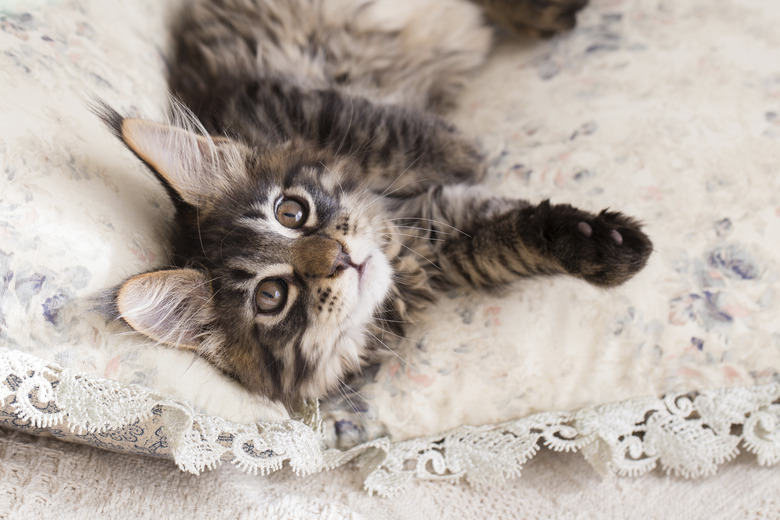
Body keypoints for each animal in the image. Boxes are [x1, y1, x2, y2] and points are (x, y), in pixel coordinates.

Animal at [102, 0, 652, 406]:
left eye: (290, 212)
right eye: (271, 297)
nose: (340, 258)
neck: (397, 232)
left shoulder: (290, 100)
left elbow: (388, 132)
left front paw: (460, 152)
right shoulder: (444, 236)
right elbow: (511, 239)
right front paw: (606, 248)